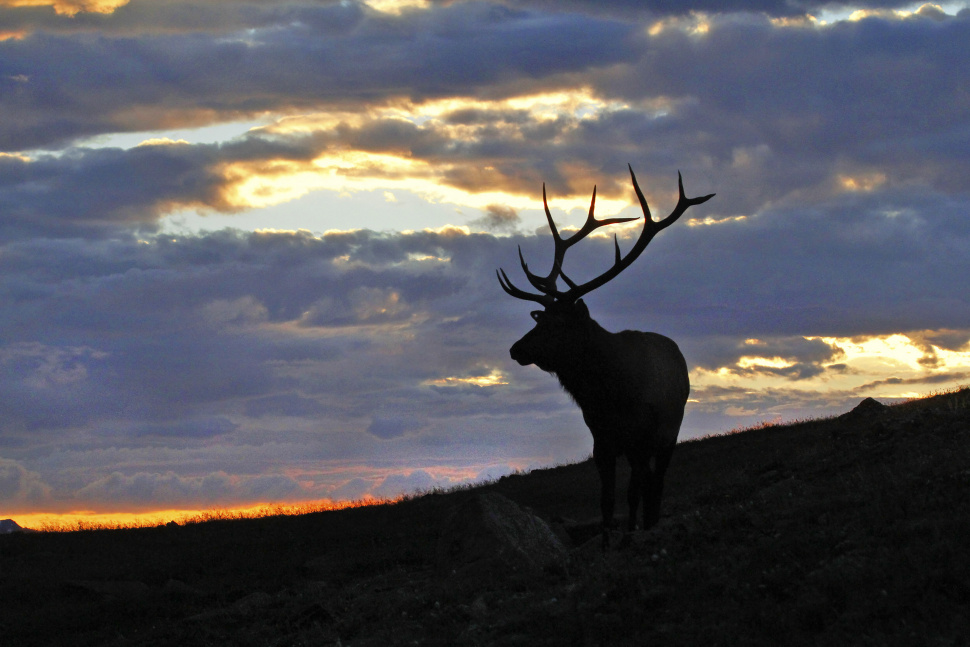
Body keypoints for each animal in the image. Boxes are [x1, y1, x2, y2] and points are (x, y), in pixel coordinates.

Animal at [497, 165, 714, 548]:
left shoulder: (642, 437)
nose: (516, 349)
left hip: (669, 432)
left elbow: (634, 492)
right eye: (540, 319)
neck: (608, 395)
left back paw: (650, 522)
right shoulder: (602, 438)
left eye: (559, 324)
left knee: (655, 484)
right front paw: (609, 535)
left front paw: (631, 534)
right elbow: (607, 499)